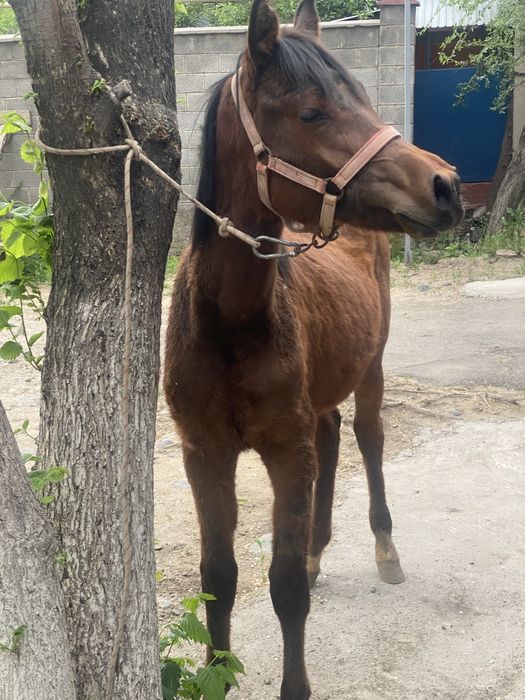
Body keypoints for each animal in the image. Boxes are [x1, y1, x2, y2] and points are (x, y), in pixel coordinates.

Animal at [164, 1, 463, 697]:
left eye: (364, 99)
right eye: (311, 112)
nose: (445, 185)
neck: (232, 323)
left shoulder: (286, 450)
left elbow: (286, 587)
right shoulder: (204, 454)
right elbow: (218, 579)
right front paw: (217, 673)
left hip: (372, 370)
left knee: (367, 439)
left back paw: (384, 551)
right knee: (332, 438)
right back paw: (320, 547)